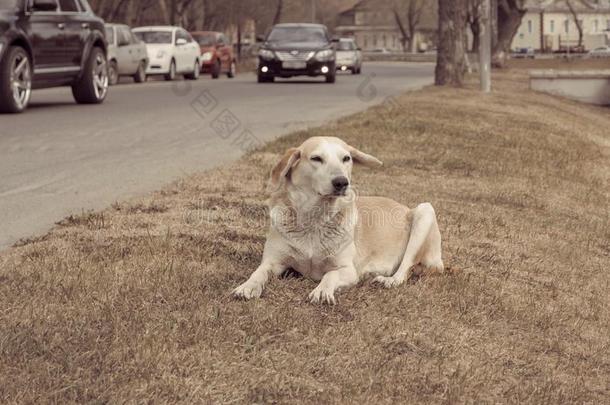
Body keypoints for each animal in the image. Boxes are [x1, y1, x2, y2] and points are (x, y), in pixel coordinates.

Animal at [233, 136, 442, 304]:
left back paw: (388, 279)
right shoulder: (273, 262)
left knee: (405, 269)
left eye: (346, 158)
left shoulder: (348, 270)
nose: (342, 182)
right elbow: (259, 272)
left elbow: (330, 274)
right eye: (316, 158)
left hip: (425, 211)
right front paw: (247, 286)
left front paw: (322, 291)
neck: (315, 219)